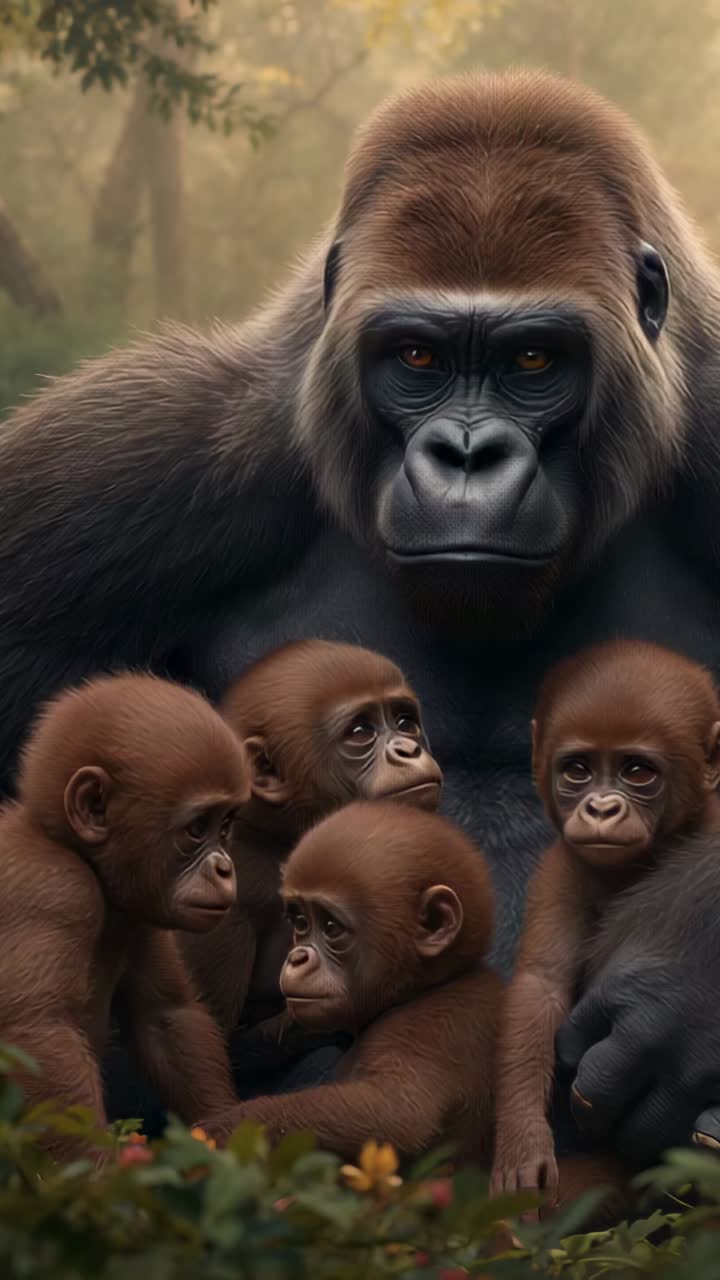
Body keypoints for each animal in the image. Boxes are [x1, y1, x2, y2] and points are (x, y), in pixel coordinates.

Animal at [0, 673, 249, 1164]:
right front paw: (100, 1177)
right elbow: (39, 1036)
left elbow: (167, 1016)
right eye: (197, 828)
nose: (225, 869)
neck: (73, 851)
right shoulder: (55, 889)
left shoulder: (140, 912)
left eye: (226, 825)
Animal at [198, 801, 502, 1162]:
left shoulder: (431, 1026)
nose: (296, 957)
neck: (430, 985)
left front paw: (214, 1134)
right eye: (300, 921)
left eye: (331, 927)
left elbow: (399, 1116)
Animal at [491, 640, 720, 1206]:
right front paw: (522, 1139)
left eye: (637, 772)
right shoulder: (560, 870)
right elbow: (540, 986)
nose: (600, 808)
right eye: (578, 769)